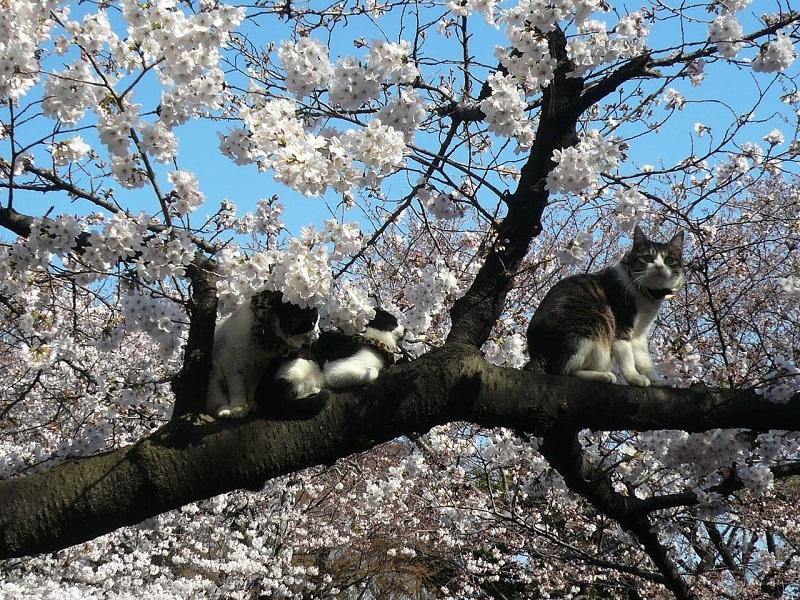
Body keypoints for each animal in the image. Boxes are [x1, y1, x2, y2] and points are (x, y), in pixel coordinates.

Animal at [206, 290, 318, 420]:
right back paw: (225, 411)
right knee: (215, 403)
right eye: (313, 321)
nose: (318, 333)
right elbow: (237, 389)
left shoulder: (259, 368)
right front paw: (238, 408)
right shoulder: (233, 365)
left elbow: (253, 388)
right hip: (214, 373)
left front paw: (252, 404)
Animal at [528, 226, 684, 390]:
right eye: (647, 258)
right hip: (593, 322)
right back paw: (603, 376)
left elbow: (644, 359)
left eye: (669, 260)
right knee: (563, 370)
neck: (648, 296)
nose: (659, 266)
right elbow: (627, 356)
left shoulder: (640, 333)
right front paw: (634, 378)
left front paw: (656, 380)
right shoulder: (621, 324)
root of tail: (536, 356)